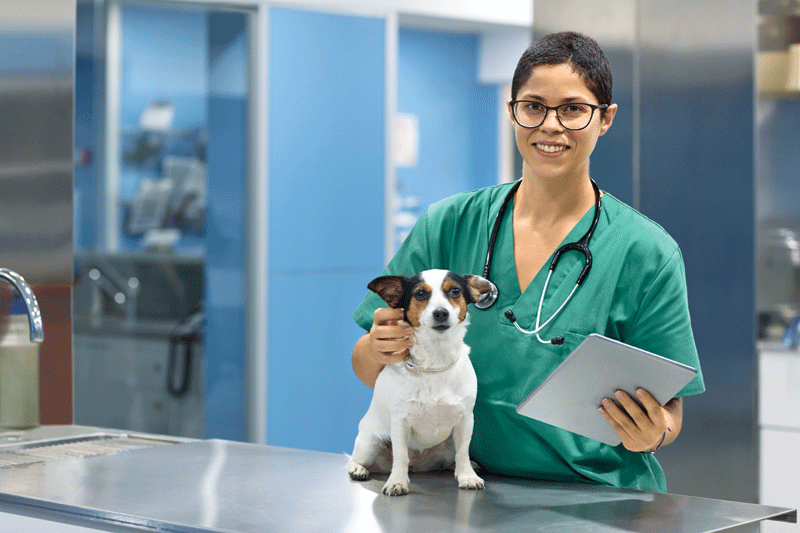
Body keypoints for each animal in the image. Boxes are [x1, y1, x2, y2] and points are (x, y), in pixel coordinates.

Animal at [348, 268, 494, 496]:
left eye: (455, 291)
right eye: (420, 294)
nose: (441, 313)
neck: (436, 359)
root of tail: (418, 465)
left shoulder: (465, 421)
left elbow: (463, 452)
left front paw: (467, 475)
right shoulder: (400, 423)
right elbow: (400, 455)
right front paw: (397, 481)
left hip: (447, 445)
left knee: (453, 457)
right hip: (370, 443)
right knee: (359, 459)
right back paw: (358, 469)